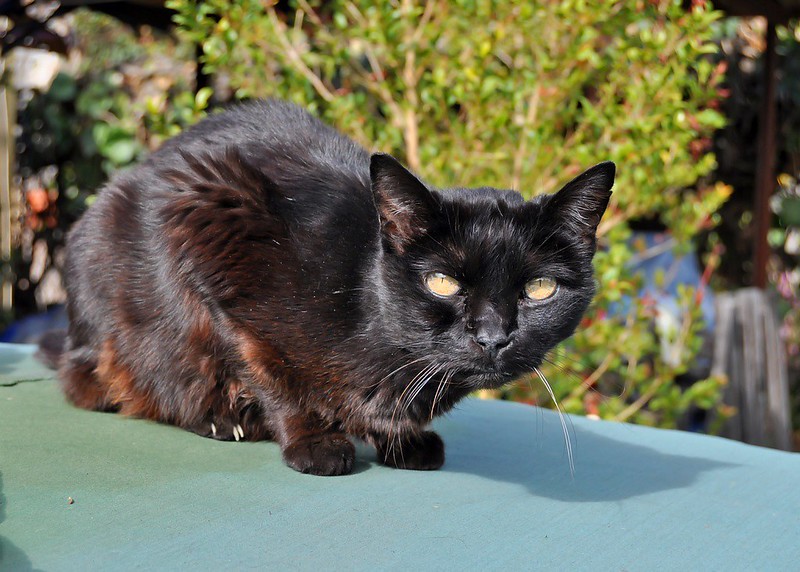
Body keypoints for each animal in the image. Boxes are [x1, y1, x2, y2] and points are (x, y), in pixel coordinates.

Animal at [40, 99, 614, 476]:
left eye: (539, 289)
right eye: (443, 282)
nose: (493, 336)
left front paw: (403, 441)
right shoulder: (210, 218)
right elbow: (267, 370)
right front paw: (311, 440)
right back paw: (220, 419)